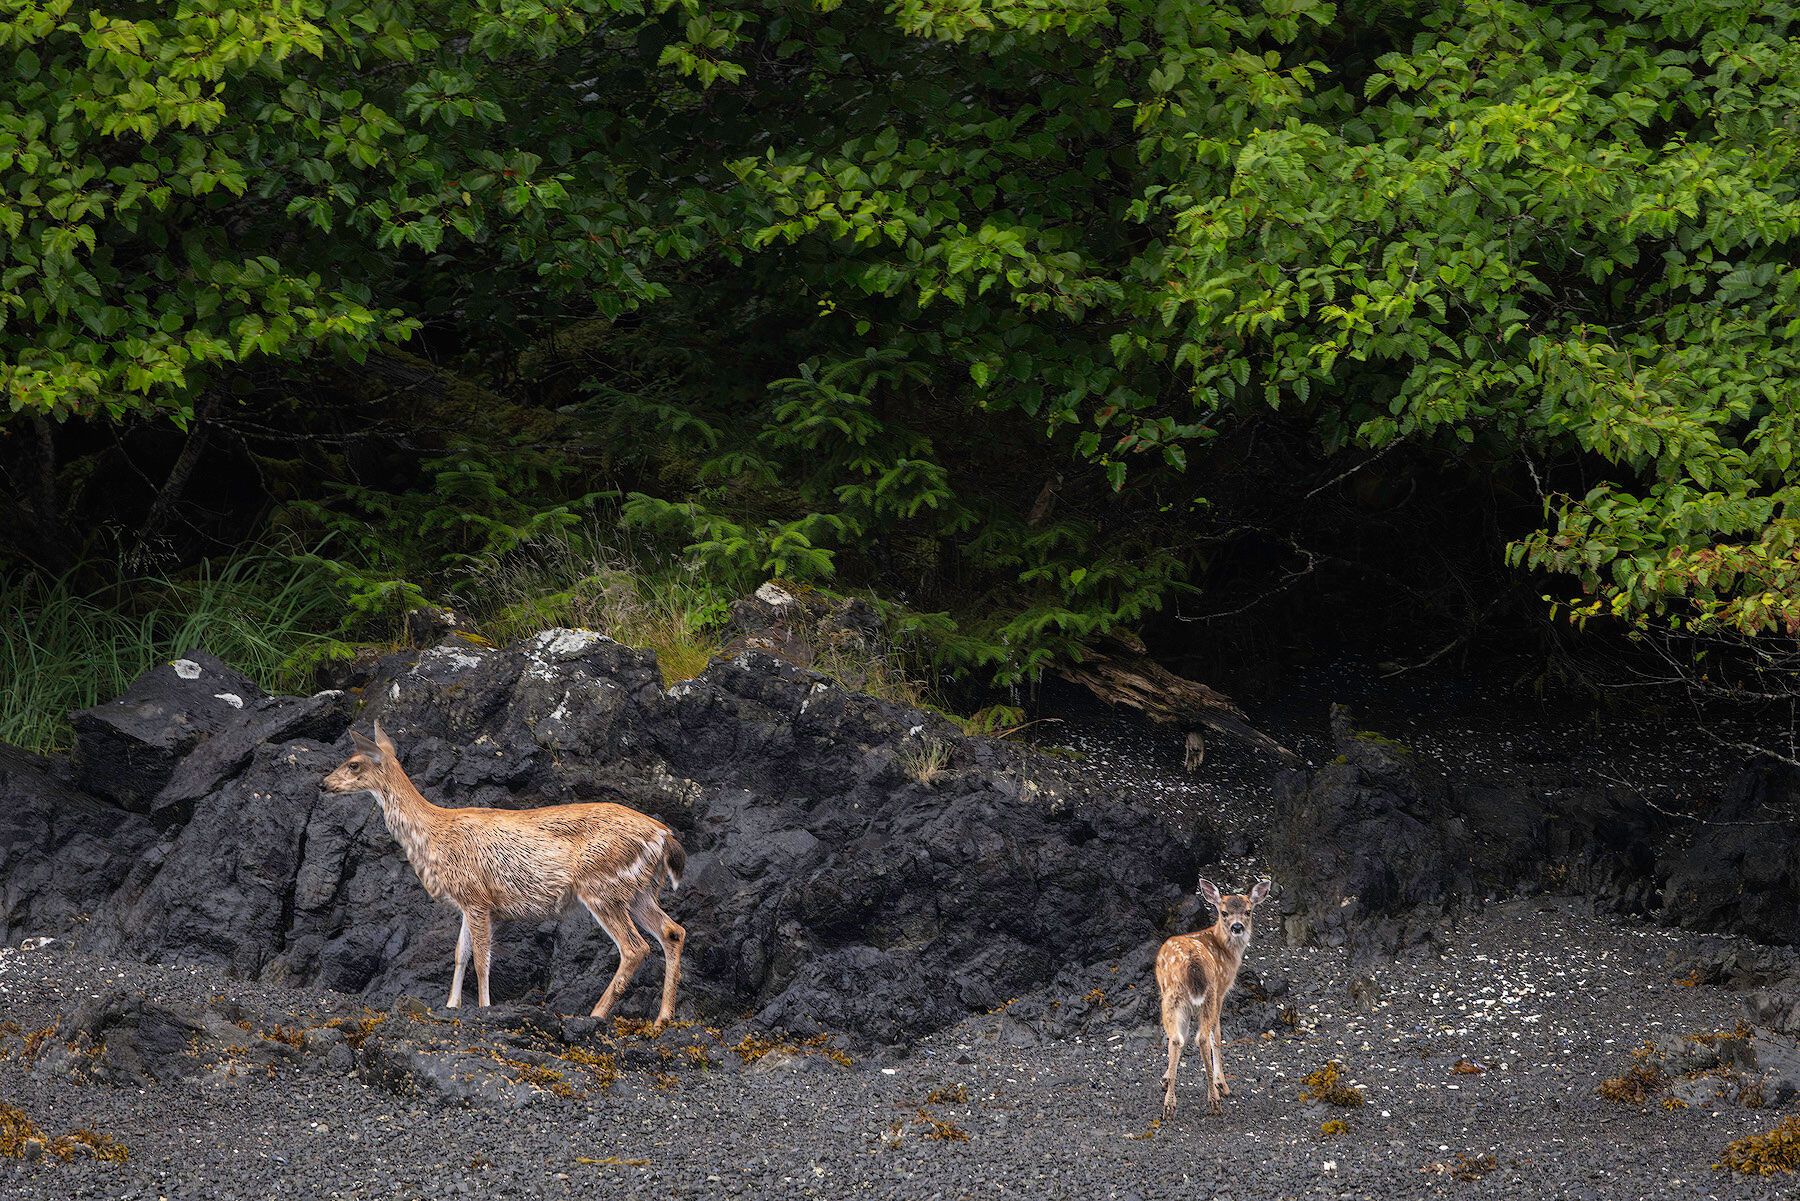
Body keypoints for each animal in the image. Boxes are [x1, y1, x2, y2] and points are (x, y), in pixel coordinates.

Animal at [320, 721, 687, 1022]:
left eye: (353, 763)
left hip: (601, 885)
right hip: (638, 890)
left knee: (634, 947)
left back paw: (597, 1014)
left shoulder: (476, 896)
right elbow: (461, 954)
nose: (323, 784)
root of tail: (663, 835)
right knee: (673, 931)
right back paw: (663, 1018)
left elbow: (481, 958)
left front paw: (484, 1007)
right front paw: (451, 1005)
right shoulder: (475, 904)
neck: (434, 834)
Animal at [1156, 876, 1271, 1119]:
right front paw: (1222, 1084)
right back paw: (1214, 1099)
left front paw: (1165, 1078)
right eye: (1224, 912)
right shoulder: (1221, 990)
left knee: (1177, 1038)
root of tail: (1192, 964)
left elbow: (1182, 1037)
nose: (1237, 927)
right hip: (1208, 994)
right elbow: (1216, 1035)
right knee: (1202, 1038)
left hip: (1172, 997)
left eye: (1248, 911)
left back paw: (1169, 1105)